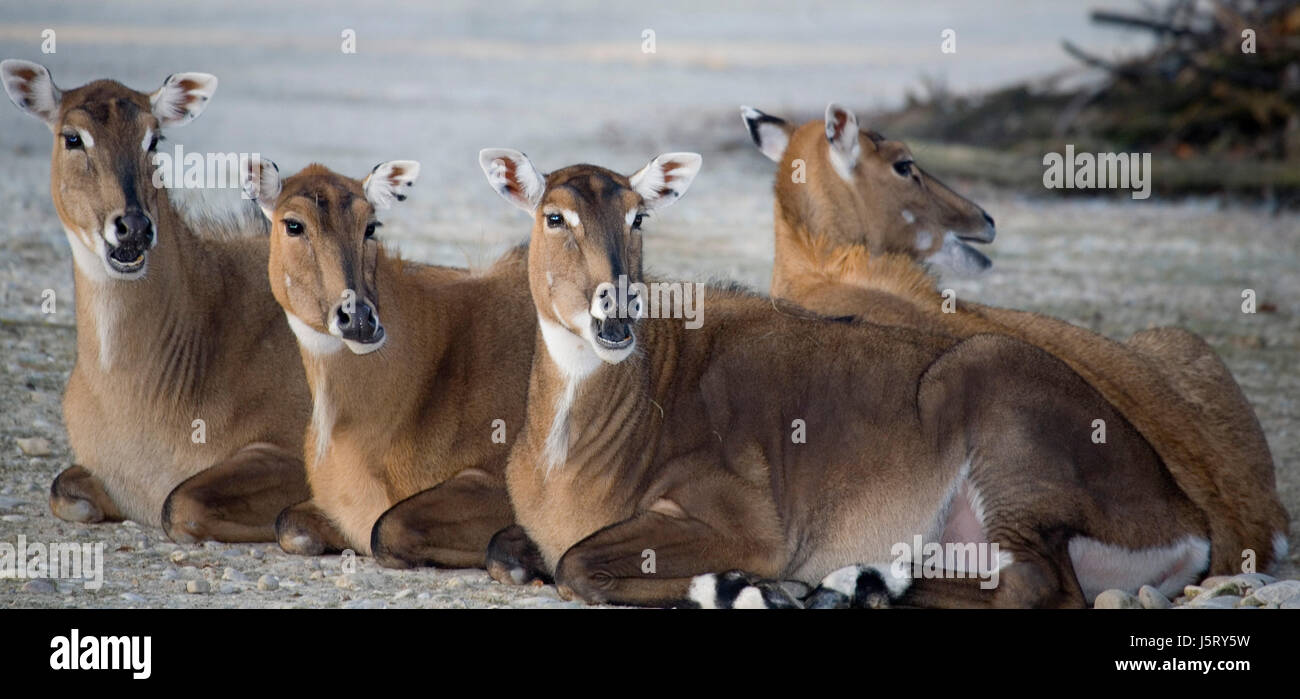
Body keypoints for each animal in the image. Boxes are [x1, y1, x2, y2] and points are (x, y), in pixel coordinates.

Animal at [478, 148, 1217, 609]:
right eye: (554, 216)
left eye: (639, 215)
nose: (616, 312)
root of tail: (1189, 518)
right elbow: (503, 547)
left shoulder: (749, 522)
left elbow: (578, 563)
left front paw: (752, 587)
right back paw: (849, 583)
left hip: (1003, 435)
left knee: (1040, 586)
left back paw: (834, 586)